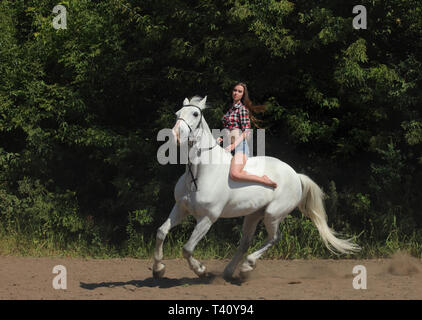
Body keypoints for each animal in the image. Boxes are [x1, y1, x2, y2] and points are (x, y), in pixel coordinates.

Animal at [152, 95, 360, 280]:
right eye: (177, 113)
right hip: (253, 214)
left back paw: (246, 267)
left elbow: (187, 249)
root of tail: (295, 175)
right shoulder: (181, 208)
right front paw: (158, 269)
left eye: (195, 114)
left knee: (273, 238)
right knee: (245, 242)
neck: (198, 174)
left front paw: (201, 270)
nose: (174, 135)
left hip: (273, 214)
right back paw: (230, 272)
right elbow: (161, 232)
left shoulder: (208, 217)